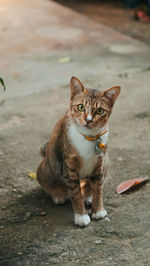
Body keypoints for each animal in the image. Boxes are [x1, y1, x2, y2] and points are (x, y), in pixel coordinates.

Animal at [36, 76, 120, 227]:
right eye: (80, 107)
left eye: (100, 110)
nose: (88, 120)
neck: (88, 137)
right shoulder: (69, 168)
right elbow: (75, 194)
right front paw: (81, 215)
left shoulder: (100, 164)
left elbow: (98, 189)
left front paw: (98, 210)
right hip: (46, 169)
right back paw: (58, 195)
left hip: (107, 163)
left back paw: (88, 196)